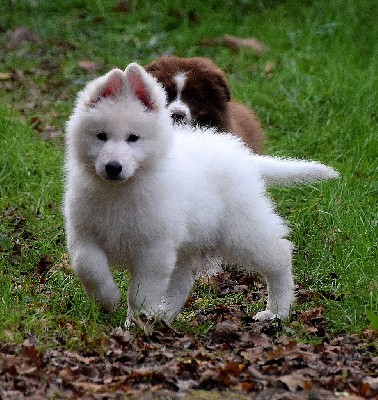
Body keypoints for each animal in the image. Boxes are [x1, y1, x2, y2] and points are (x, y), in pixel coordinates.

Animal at [63, 62, 338, 324]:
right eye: (101, 136)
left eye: (133, 138)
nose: (113, 167)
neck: (120, 190)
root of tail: (244, 156)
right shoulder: (83, 234)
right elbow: (89, 267)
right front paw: (109, 298)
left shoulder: (154, 248)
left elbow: (141, 291)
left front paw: (137, 322)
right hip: (190, 242)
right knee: (182, 282)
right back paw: (164, 317)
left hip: (240, 229)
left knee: (279, 256)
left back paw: (278, 311)